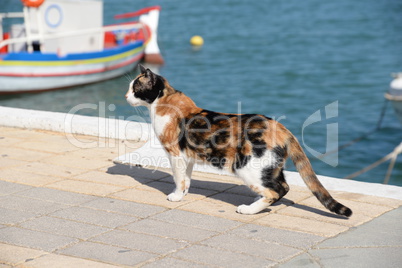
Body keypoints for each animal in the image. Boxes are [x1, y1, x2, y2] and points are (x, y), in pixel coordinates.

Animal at [125, 65, 352, 218]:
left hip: (247, 167)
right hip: (270, 166)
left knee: (276, 190)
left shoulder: (175, 154)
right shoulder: (187, 157)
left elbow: (178, 178)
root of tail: (279, 127)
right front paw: (185, 193)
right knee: (283, 186)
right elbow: (187, 178)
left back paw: (249, 210)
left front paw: (176, 196)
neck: (165, 100)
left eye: (135, 88)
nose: (126, 96)